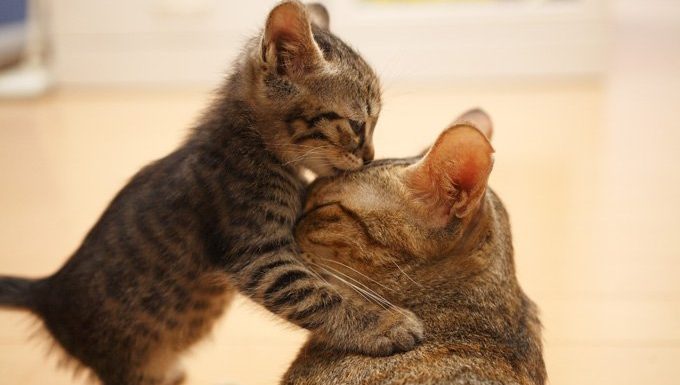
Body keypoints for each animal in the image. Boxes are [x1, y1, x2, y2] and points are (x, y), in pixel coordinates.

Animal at [0, 3, 422, 384]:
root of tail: (48, 289)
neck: (253, 146)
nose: (369, 156)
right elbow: (318, 296)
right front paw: (384, 323)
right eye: (357, 124)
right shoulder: (256, 255)